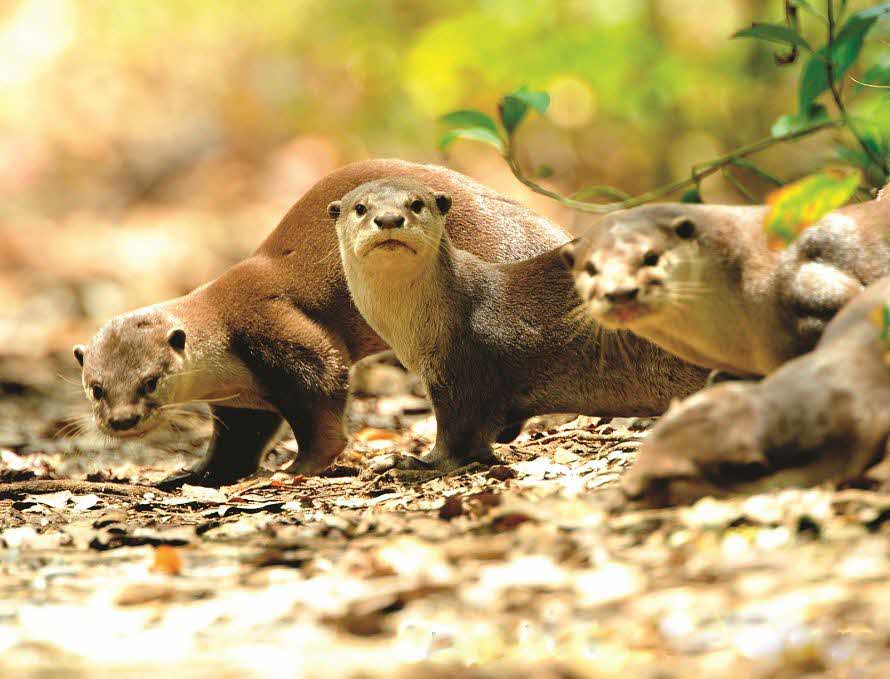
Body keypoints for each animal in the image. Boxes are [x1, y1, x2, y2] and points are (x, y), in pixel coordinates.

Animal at [73, 161, 564, 488]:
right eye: (96, 388)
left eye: (150, 381)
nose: (121, 420)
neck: (223, 336)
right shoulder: (242, 400)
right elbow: (235, 446)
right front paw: (191, 474)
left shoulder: (274, 326)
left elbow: (323, 392)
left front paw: (300, 468)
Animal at [330, 178, 712, 472]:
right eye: (360, 208)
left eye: (416, 204)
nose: (389, 218)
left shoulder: (465, 371)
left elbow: (457, 436)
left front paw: (412, 462)